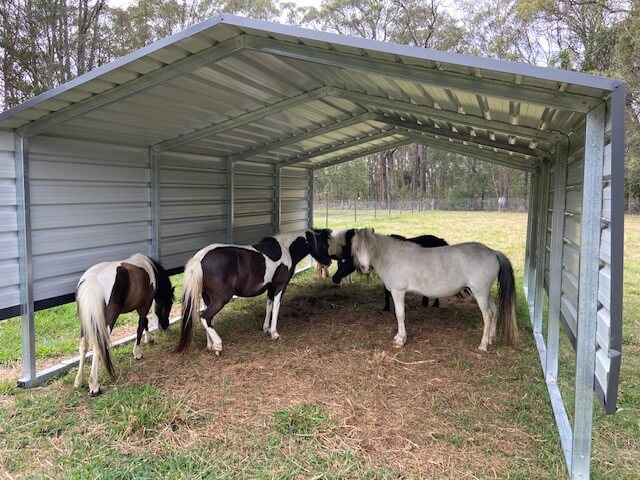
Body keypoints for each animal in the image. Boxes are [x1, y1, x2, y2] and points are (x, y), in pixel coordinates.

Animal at [73, 253, 175, 396]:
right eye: (169, 304)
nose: (165, 325)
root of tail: (92, 281)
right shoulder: (145, 304)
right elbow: (140, 326)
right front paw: (137, 352)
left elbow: (145, 322)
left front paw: (149, 338)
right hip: (107, 322)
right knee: (98, 346)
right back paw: (94, 385)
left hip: (86, 321)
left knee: (83, 345)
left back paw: (78, 381)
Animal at [176, 231, 332, 354]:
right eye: (323, 245)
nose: (329, 262)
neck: (286, 248)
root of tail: (199, 258)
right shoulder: (280, 287)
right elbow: (276, 308)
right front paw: (274, 333)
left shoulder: (270, 287)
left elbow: (269, 307)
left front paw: (266, 328)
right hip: (220, 299)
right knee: (204, 316)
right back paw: (218, 346)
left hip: (207, 298)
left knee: (209, 319)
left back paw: (210, 345)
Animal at [348, 227, 516, 350]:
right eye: (357, 248)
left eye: (371, 247)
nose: (365, 268)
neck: (392, 257)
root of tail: (492, 252)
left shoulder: (398, 292)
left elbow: (400, 315)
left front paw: (401, 339)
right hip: (485, 293)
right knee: (494, 310)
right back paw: (491, 338)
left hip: (480, 293)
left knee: (487, 315)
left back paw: (483, 344)